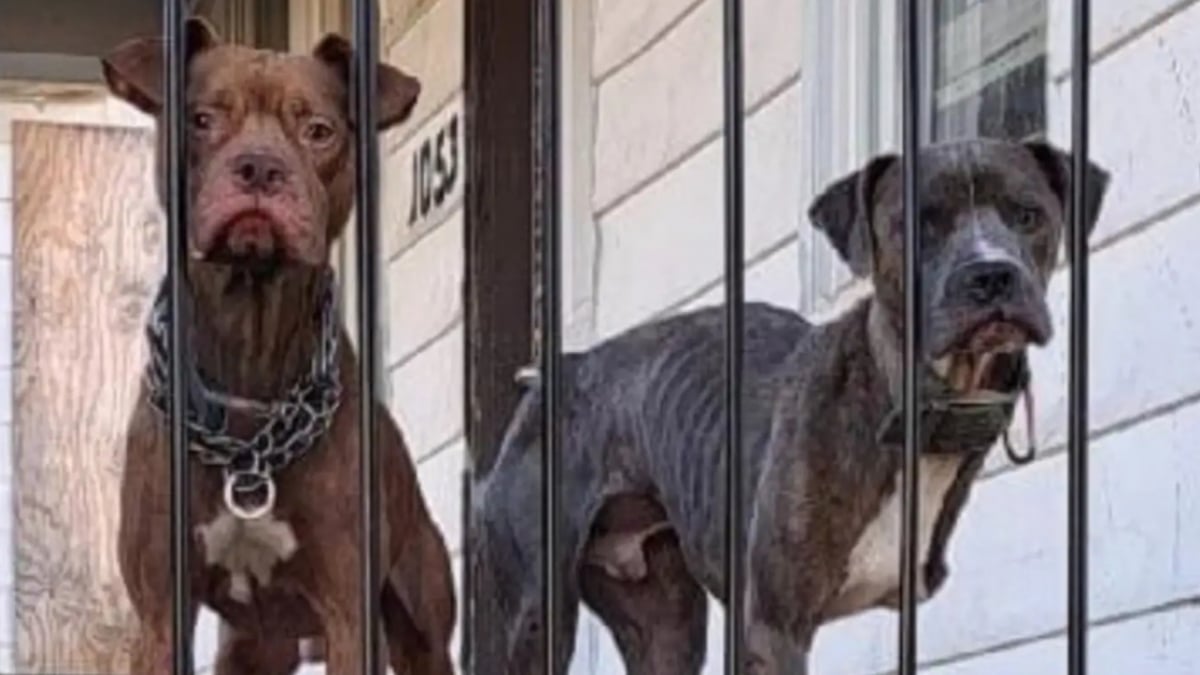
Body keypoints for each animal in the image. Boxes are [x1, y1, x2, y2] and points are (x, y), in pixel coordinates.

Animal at [472, 138, 1108, 672]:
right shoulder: (774, 627)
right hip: (536, 616)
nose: (992, 274)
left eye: (1028, 216)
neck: (902, 399)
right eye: (918, 225)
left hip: (663, 624)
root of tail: (553, 373)